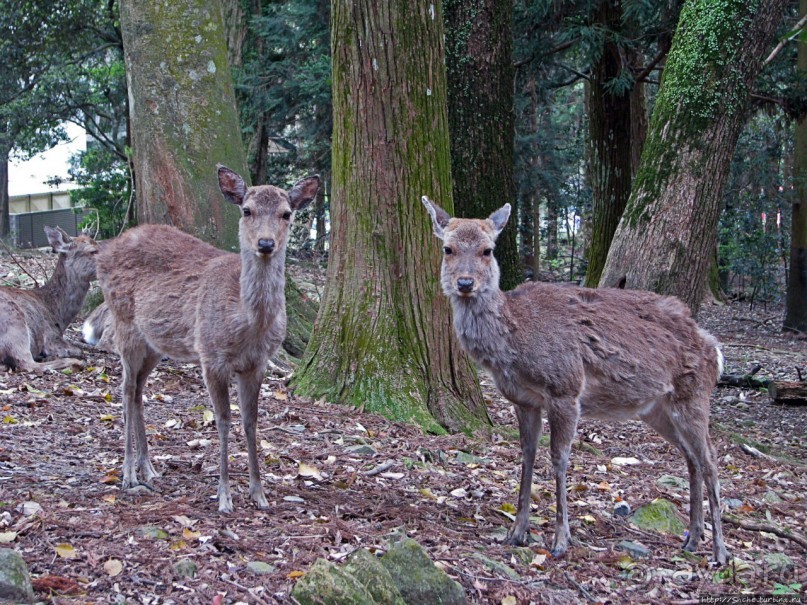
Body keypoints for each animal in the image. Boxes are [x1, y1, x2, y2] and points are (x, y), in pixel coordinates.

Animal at [0, 226, 101, 372]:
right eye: (92, 251)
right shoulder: (51, 337)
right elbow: (78, 350)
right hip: (15, 321)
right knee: (27, 363)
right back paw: (75, 363)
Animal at [96, 168, 320, 512]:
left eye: (286, 213)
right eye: (246, 210)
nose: (265, 243)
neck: (246, 324)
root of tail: (102, 252)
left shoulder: (258, 364)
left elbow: (251, 421)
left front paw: (259, 493)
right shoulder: (211, 357)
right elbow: (223, 420)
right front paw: (225, 497)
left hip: (154, 343)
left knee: (139, 391)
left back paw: (149, 468)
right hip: (125, 324)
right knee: (125, 389)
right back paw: (129, 474)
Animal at [420, 196, 728, 564]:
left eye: (487, 250)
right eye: (448, 249)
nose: (465, 283)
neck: (514, 344)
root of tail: (714, 349)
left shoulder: (565, 388)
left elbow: (559, 458)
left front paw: (560, 540)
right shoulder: (524, 399)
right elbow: (527, 453)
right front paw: (516, 532)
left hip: (693, 394)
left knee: (710, 459)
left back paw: (720, 551)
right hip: (657, 408)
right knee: (691, 457)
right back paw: (692, 539)